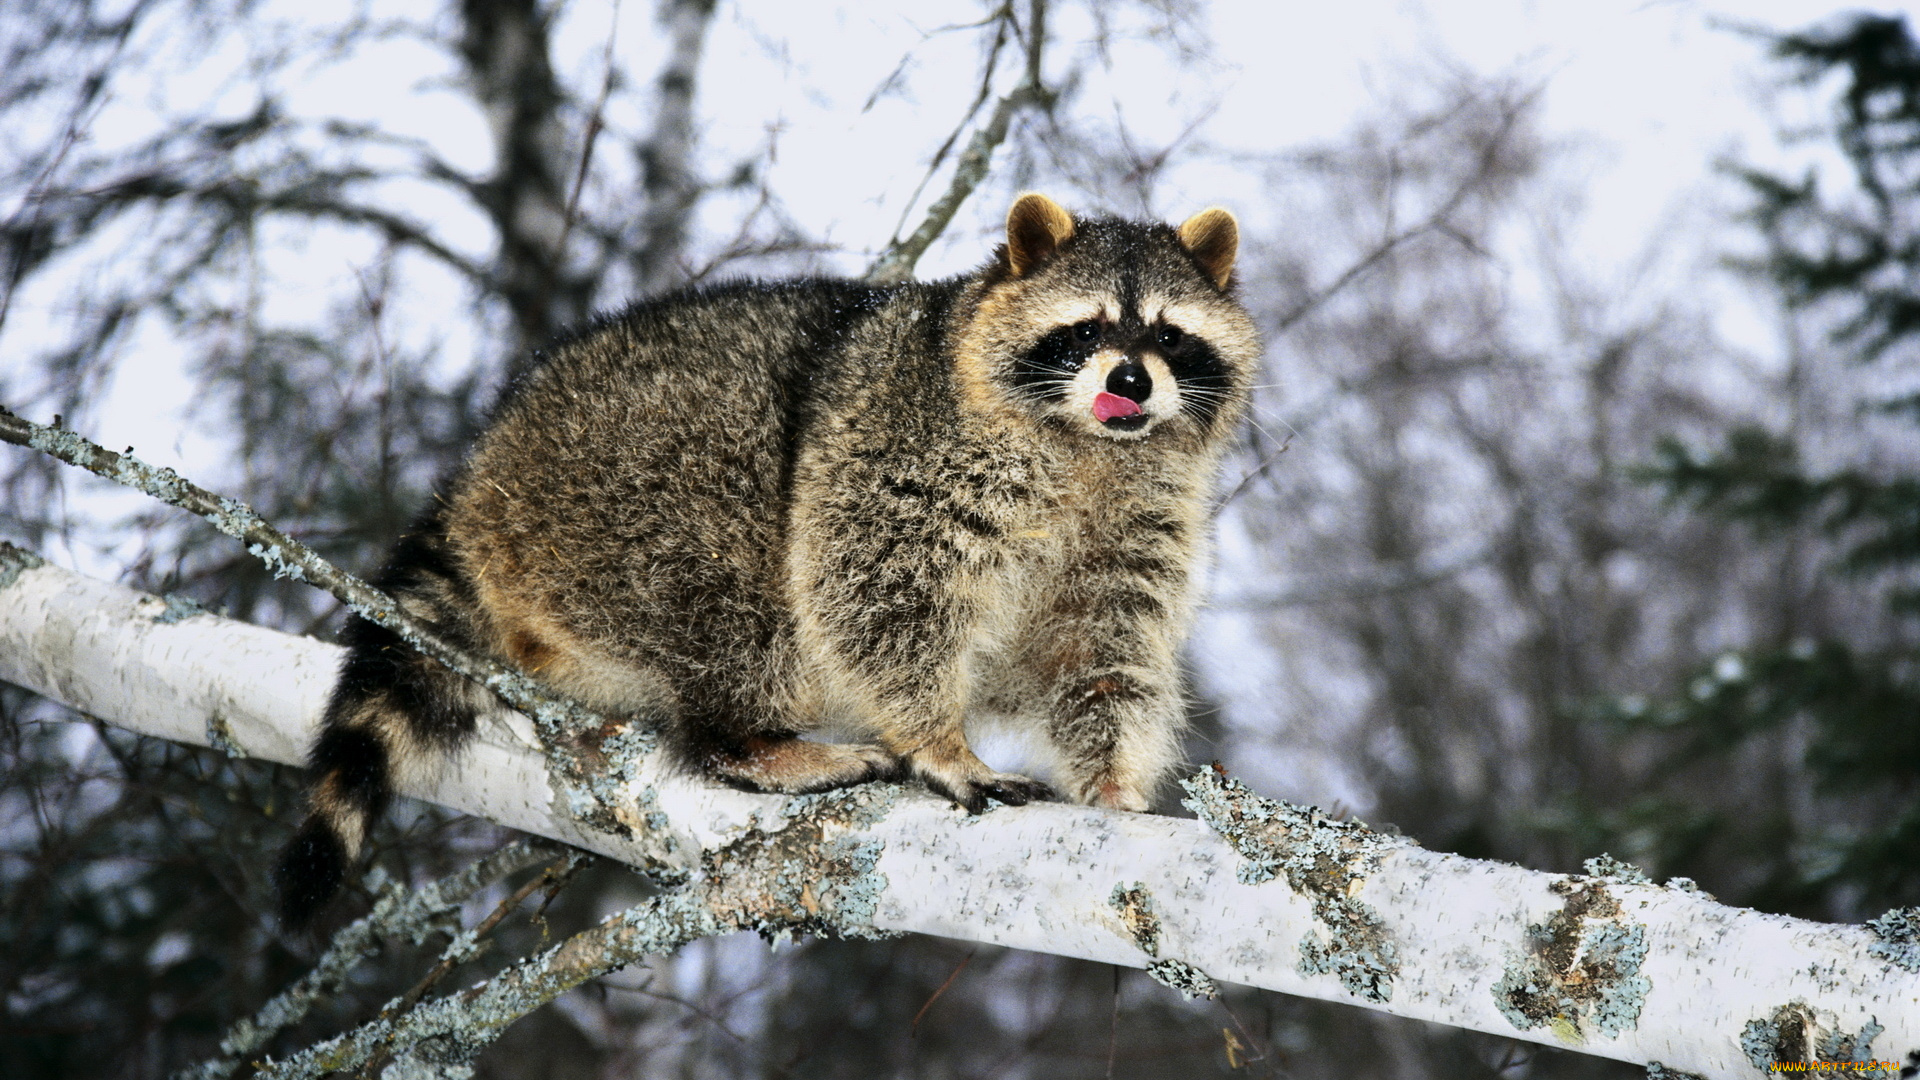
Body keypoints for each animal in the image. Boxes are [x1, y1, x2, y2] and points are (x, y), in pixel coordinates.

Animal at [274, 191, 1259, 914]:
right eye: (1087, 329)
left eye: (1167, 335)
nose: (1130, 380)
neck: (1091, 450)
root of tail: (481, 474)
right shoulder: (899, 450)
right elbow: (874, 588)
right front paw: (937, 737)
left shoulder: (1138, 521)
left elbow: (1102, 649)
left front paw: (1114, 780)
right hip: (615, 490)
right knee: (736, 599)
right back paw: (745, 738)